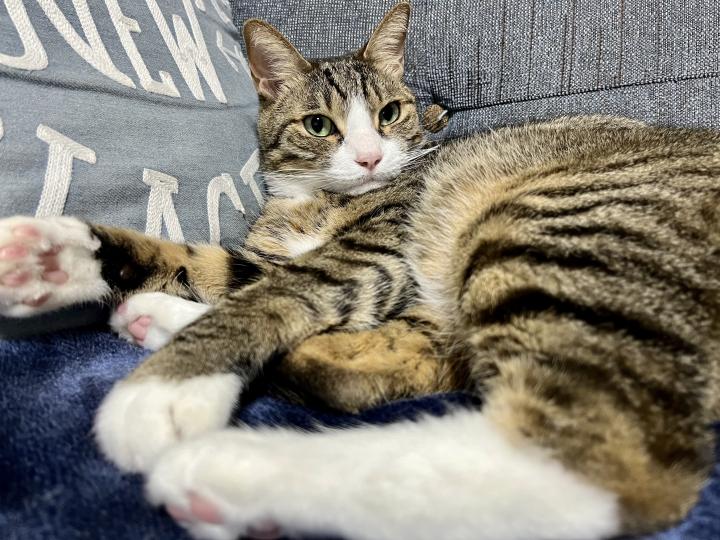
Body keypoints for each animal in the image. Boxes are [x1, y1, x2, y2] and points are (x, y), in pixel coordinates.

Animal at [1, 2, 719, 539]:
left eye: (390, 113)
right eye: (319, 124)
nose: (372, 158)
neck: (315, 202)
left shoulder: (373, 253)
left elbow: (275, 297)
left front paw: (168, 388)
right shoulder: (268, 255)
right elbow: (204, 265)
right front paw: (53, 255)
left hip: (557, 216)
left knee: (590, 463)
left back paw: (232, 473)